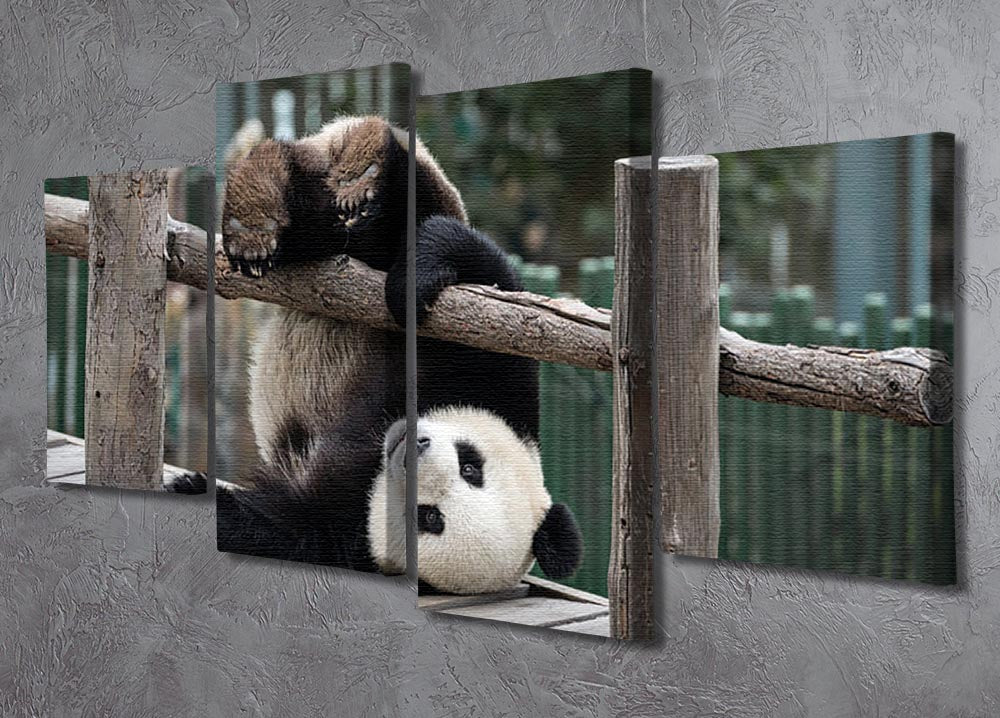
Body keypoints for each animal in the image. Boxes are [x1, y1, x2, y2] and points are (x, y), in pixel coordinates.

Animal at [173, 114, 583, 589]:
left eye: (430, 518)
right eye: (472, 466)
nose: (415, 445)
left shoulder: (338, 532)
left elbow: (274, 527)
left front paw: (195, 493)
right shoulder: (501, 384)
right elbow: (483, 276)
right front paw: (414, 280)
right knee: (388, 195)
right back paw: (320, 188)